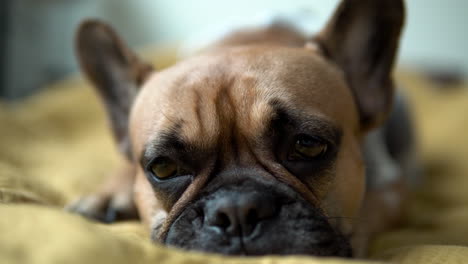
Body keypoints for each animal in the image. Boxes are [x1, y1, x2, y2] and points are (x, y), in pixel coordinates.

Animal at [66, 0, 414, 258]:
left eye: (308, 146)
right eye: (163, 168)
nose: (237, 210)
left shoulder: (390, 189)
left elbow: (365, 214)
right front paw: (109, 192)